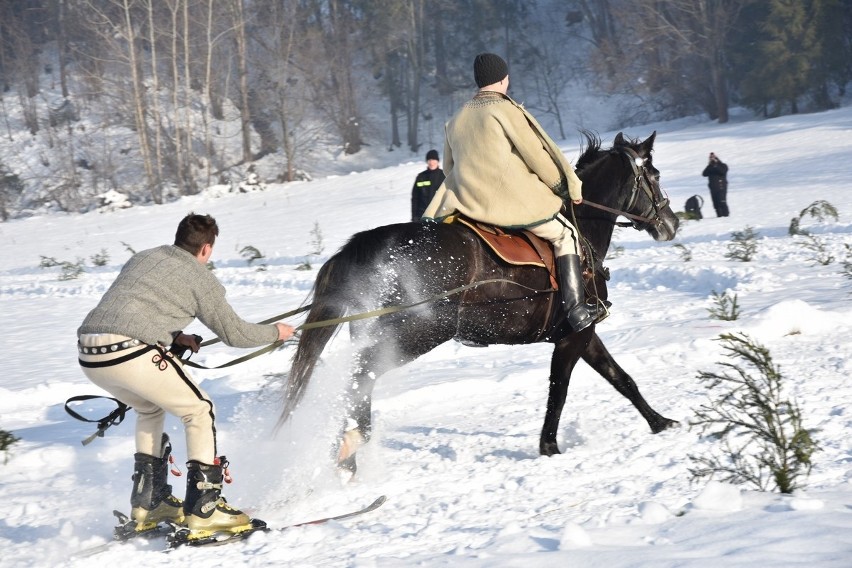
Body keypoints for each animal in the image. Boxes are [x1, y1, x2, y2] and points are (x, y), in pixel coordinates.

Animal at [280, 131, 680, 468]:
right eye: (655, 175)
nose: (672, 223)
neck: (582, 236)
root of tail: (376, 245)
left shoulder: (583, 334)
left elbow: (622, 379)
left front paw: (660, 422)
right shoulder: (574, 335)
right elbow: (559, 390)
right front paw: (549, 447)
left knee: (357, 380)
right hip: (417, 334)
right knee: (362, 375)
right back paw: (352, 445)